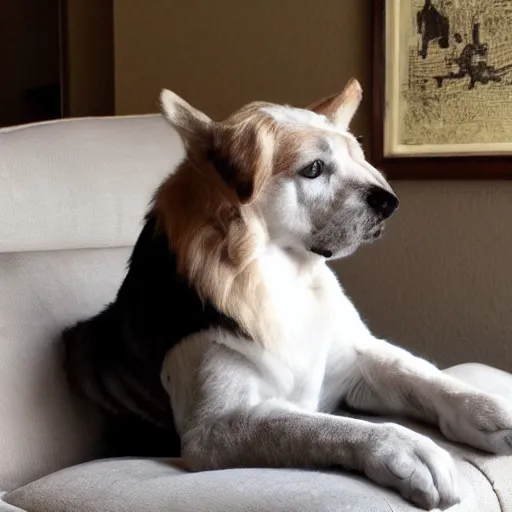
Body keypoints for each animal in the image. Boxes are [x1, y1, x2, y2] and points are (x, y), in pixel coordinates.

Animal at [63, 78, 512, 510]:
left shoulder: (358, 361)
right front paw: (402, 447)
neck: (282, 276)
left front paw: (490, 409)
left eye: (357, 157)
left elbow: (423, 376)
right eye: (313, 168)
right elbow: (323, 427)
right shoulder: (216, 427)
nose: (390, 202)